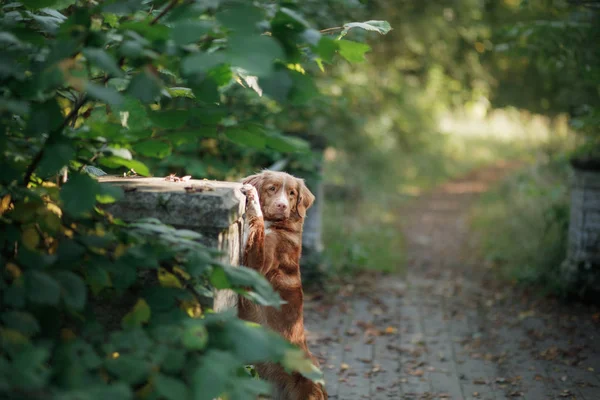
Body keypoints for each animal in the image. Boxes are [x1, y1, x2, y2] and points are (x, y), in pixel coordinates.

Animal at [238, 171, 328, 400]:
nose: (282, 205)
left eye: (292, 193)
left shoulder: (256, 266)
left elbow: (257, 225)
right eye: (272, 188)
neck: (278, 225)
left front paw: (252, 198)